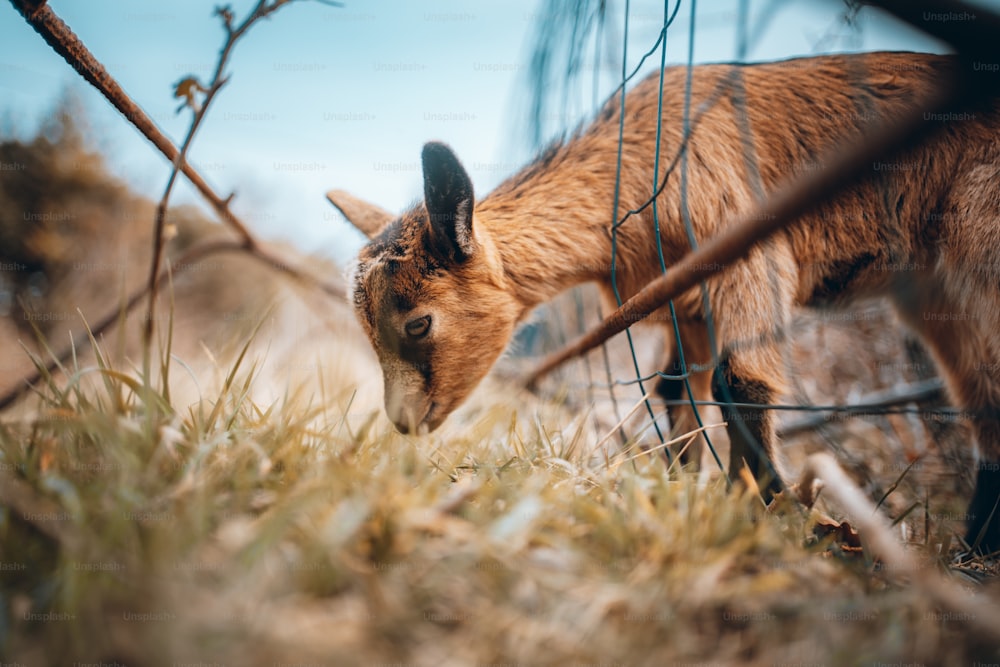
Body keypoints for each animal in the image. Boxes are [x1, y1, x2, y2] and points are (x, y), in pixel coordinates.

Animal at [328, 51, 1000, 552]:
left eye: (418, 323)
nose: (403, 421)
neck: (640, 163)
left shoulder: (744, 253)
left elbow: (740, 382)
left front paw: (772, 517)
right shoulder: (687, 303)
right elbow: (677, 390)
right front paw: (691, 496)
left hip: (977, 233)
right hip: (930, 287)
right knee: (983, 396)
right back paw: (975, 550)